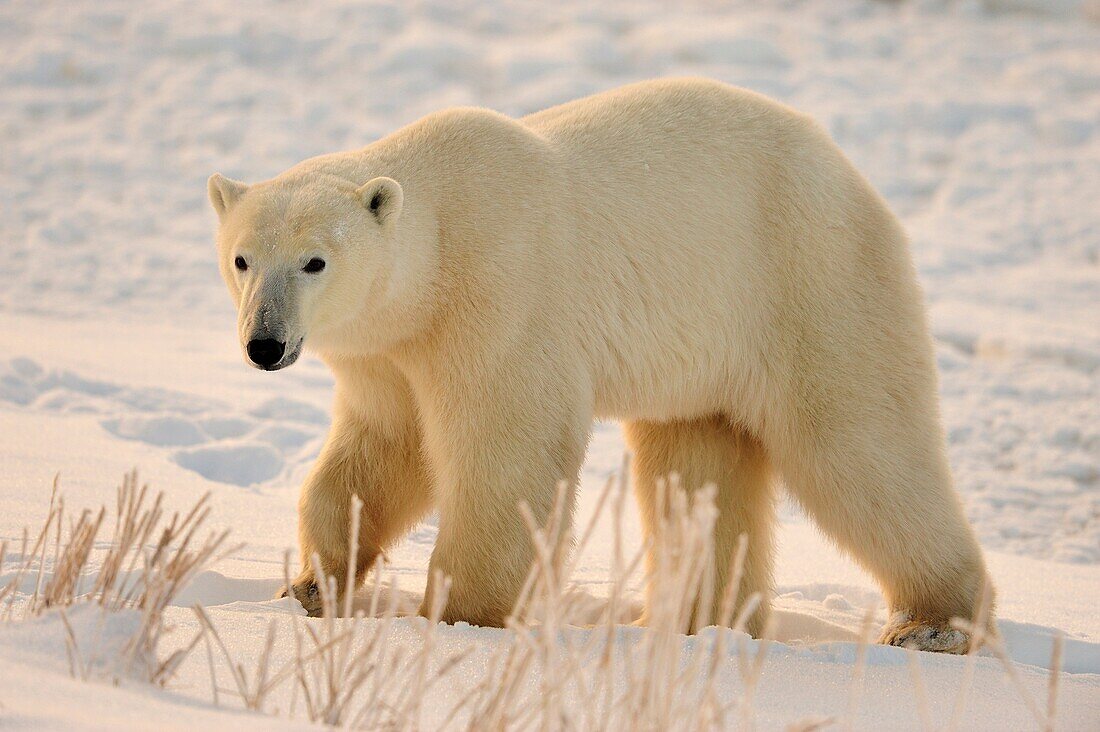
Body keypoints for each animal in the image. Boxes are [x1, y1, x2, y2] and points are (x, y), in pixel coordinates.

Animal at [206, 78, 990, 651]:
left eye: (314, 261)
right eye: (243, 259)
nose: (264, 345)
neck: (437, 245)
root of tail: (851, 174)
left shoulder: (500, 296)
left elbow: (507, 451)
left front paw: (463, 616)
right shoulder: (388, 350)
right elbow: (382, 450)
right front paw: (312, 585)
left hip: (806, 281)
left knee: (860, 449)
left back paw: (933, 623)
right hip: (703, 353)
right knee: (695, 466)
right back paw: (695, 620)